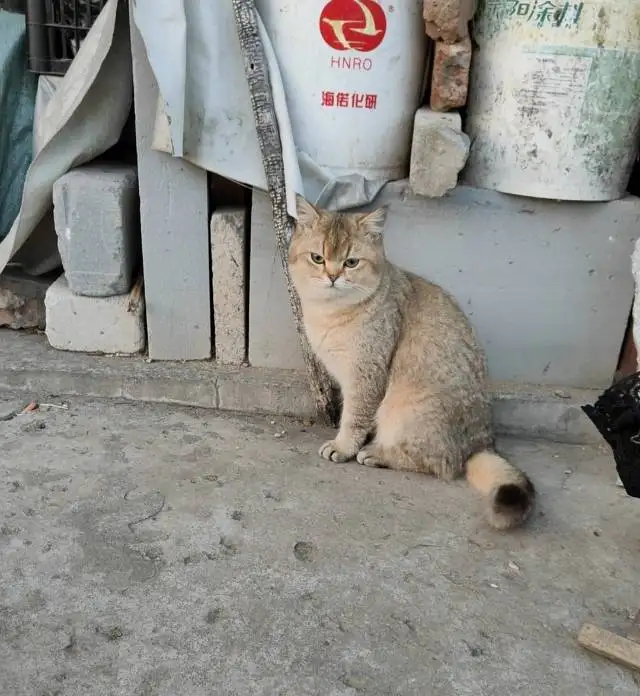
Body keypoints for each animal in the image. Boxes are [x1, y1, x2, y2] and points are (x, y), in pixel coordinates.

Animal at [288, 198, 536, 532]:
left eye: (351, 262)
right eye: (317, 258)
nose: (333, 276)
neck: (332, 313)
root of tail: (481, 443)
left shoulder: (366, 375)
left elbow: (354, 417)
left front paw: (344, 446)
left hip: (406, 409)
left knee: (443, 463)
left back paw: (378, 454)